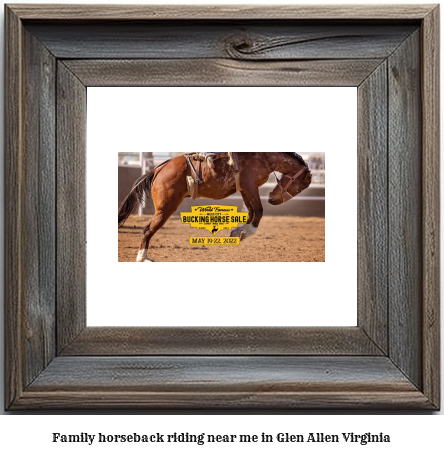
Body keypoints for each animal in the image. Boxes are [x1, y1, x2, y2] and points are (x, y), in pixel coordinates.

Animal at [118, 152, 312, 262]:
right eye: (298, 188)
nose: (274, 199)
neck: (263, 157)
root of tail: (158, 170)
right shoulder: (250, 186)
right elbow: (258, 211)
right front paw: (246, 231)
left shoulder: (244, 188)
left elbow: (251, 211)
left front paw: (239, 231)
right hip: (165, 209)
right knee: (147, 230)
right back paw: (142, 257)